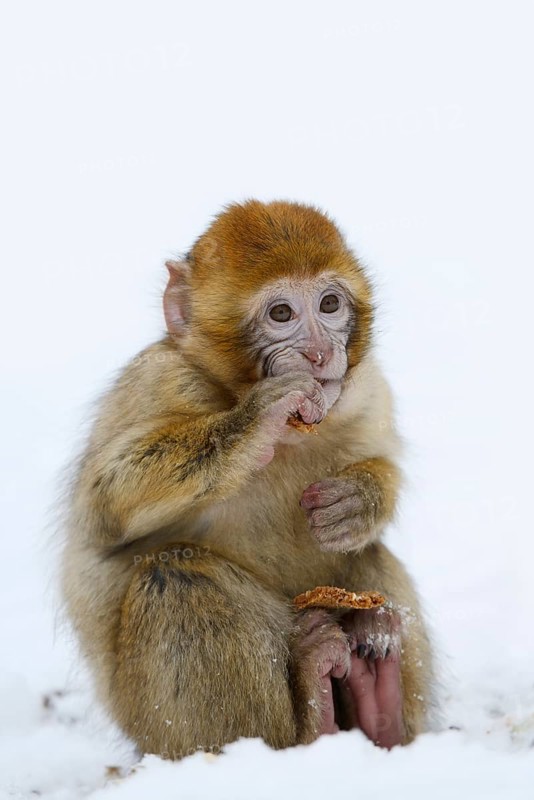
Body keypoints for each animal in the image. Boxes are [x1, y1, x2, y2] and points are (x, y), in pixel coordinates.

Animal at [61, 199, 434, 759]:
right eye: (281, 314)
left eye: (329, 304)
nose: (320, 353)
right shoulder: (158, 381)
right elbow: (103, 506)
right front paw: (257, 420)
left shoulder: (367, 389)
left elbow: (379, 468)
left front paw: (360, 500)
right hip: (154, 730)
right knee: (174, 576)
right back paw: (312, 717)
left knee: (368, 555)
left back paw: (378, 703)